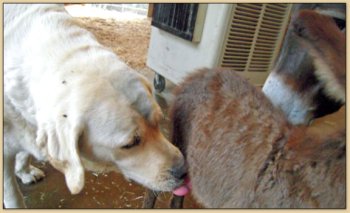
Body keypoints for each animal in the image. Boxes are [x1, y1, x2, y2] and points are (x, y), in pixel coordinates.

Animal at [4, 3, 186, 208]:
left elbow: (24, 152)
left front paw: (24, 171)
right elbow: (13, 195)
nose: (184, 171)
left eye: (158, 122)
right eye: (129, 144)